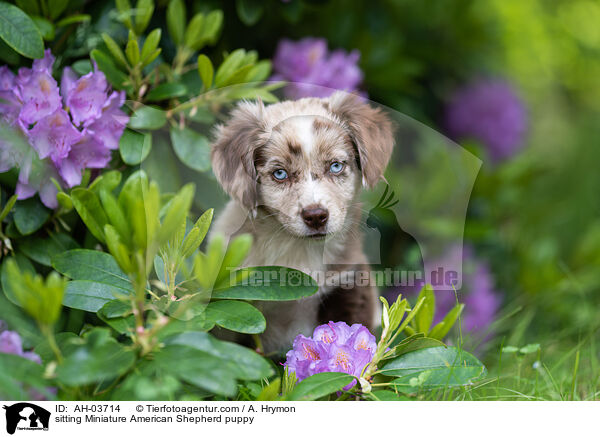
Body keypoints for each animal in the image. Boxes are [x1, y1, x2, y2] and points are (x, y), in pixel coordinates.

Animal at [210, 90, 394, 352]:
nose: (315, 216)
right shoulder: (235, 306)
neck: (298, 249)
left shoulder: (349, 287)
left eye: (335, 166)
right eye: (280, 174)